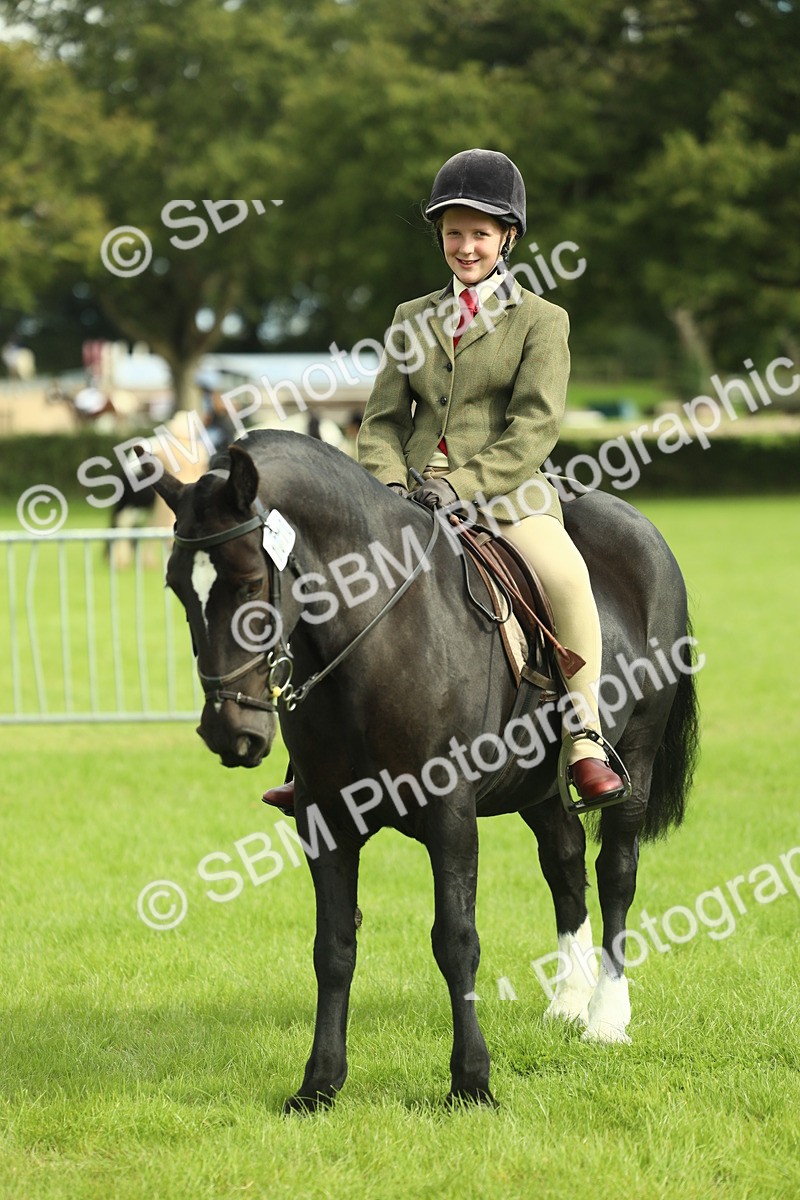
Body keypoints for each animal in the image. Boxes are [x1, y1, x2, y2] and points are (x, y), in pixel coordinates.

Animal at [153, 427, 699, 1112]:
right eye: (178, 587)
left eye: (252, 582)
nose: (230, 731)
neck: (377, 635)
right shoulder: (324, 818)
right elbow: (333, 947)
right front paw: (319, 1085)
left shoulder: (450, 813)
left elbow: (456, 939)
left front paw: (472, 1082)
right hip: (539, 790)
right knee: (565, 866)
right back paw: (569, 1004)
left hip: (638, 764)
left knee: (616, 873)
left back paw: (605, 1017)